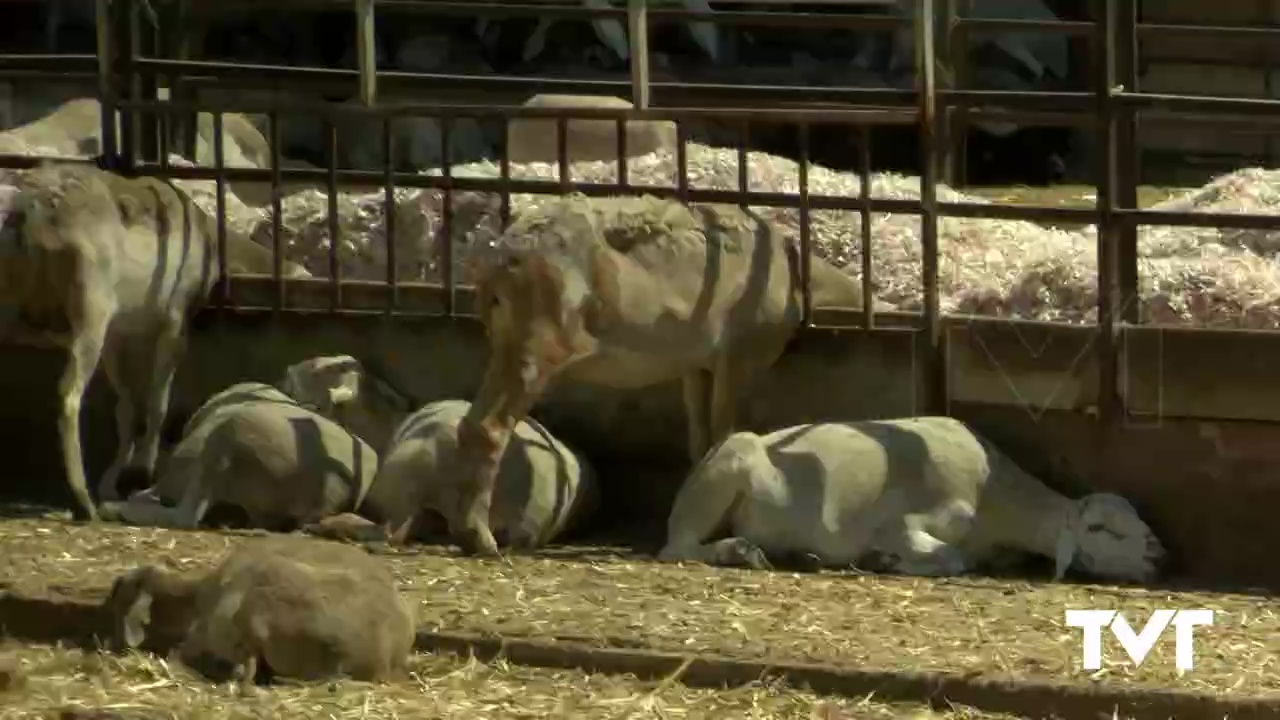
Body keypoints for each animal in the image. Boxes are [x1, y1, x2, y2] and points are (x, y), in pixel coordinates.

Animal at [0, 161, 282, 515]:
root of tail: (30, 217)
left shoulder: (118, 332)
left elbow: (127, 407)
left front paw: (113, 482)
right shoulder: (172, 323)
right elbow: (157, 401)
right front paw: (142, 473)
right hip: (90, 311)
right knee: (69, 394)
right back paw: (83, 500)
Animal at [450, 192, 870, 556]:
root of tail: (499, 266)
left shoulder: (695, 364)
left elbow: (701, 442)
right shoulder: (735, 357)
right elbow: (723, 432)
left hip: (507, 343)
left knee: (472, 424)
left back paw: (467, 533)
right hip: (539, 344)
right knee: (491, 426)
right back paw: (483, 539)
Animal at [655, 415, 1167, 584]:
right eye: (1101, 528)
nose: (1159, 554)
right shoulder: (906, 522)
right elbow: (953, 558)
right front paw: (886, 560)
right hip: (724, 471)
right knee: (676, 547)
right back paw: (738, 551)